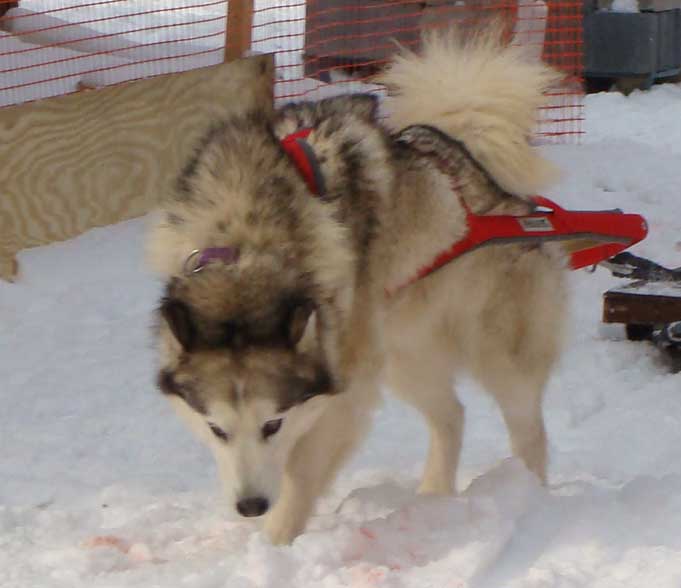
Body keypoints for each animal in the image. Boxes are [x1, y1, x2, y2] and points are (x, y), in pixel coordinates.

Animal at [150, 26, 568, 544]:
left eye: (272, 424)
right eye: (216, 429)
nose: (249, 506)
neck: (249, 242)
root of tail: (492, 186)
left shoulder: (344, 392)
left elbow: (300, 471)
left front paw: (274, 544)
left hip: (496, 357)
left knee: (530, 431)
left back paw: (528, 499)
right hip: (404, 354)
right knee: (452, 414)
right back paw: (433, 497)